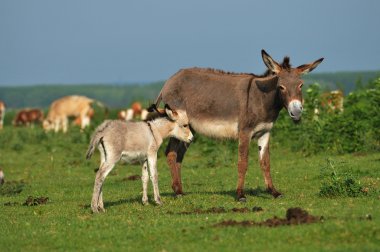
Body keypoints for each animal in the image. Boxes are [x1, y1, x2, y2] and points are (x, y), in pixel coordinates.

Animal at [154, 50, 324, 202]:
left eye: (301, 85)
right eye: (281, 87)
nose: (296, 112)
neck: (262, 99)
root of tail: (168, 82)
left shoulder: (265, 132)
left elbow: (265, 163)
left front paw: (274, 192)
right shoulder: (245, 132)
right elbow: (243, 163)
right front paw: (240, 195)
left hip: (189, 129)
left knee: (179, 156)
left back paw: (180, 190)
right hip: (178, 124)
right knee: (171, 154)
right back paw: (177, 192)